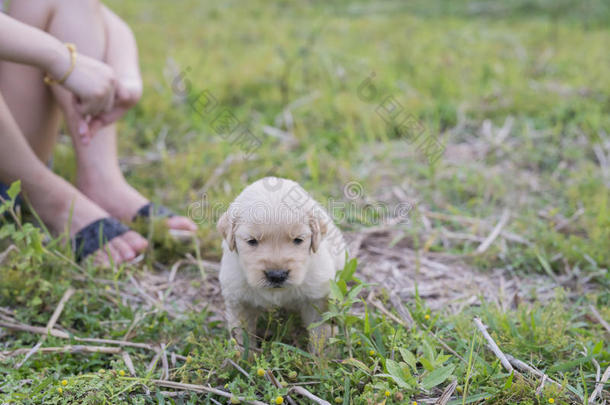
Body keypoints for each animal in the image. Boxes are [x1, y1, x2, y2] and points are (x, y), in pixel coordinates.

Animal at [216, 177, 344, 350]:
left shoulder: (317, 297)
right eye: (252, 241)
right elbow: (241, 335)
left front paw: (323, 356)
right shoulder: (238, 299)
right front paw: (242, 355)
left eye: (298, 240)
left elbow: (321, 333)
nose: (277, 275)